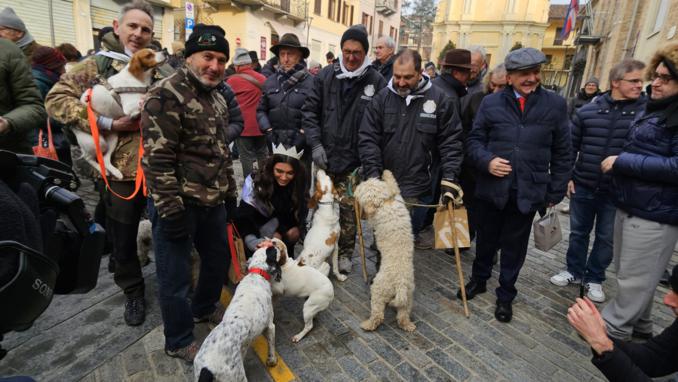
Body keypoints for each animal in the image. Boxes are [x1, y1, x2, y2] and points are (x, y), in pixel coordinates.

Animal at [77, 47, 166, 179]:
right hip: (97, 142)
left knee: (105, 159)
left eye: (155, 50)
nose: (165, 51)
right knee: (88, 158)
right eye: (148, 55)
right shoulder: (129, 107)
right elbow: (145, 98)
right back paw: (102, 170)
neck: (137, 78)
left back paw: (115, 172)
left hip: (113, 139)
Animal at [194, 243, 282, 380]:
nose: (274, 243)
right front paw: (272, 360)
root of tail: (206, 369)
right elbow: (271, 345)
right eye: (271, 251)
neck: (257, 274)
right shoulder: (270, 325)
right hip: (237, 376)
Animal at [356, 172, 420, 332]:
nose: (356, 187)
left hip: (379, 291)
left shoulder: (374, 216)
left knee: (378, 315)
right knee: (402, 316)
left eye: (362, 188)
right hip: (407, 299)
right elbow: (394, 184)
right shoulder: (397, 196)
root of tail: (400, 284)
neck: (385, 202)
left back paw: (368, 324)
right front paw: (386, 173)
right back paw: (409, 326)